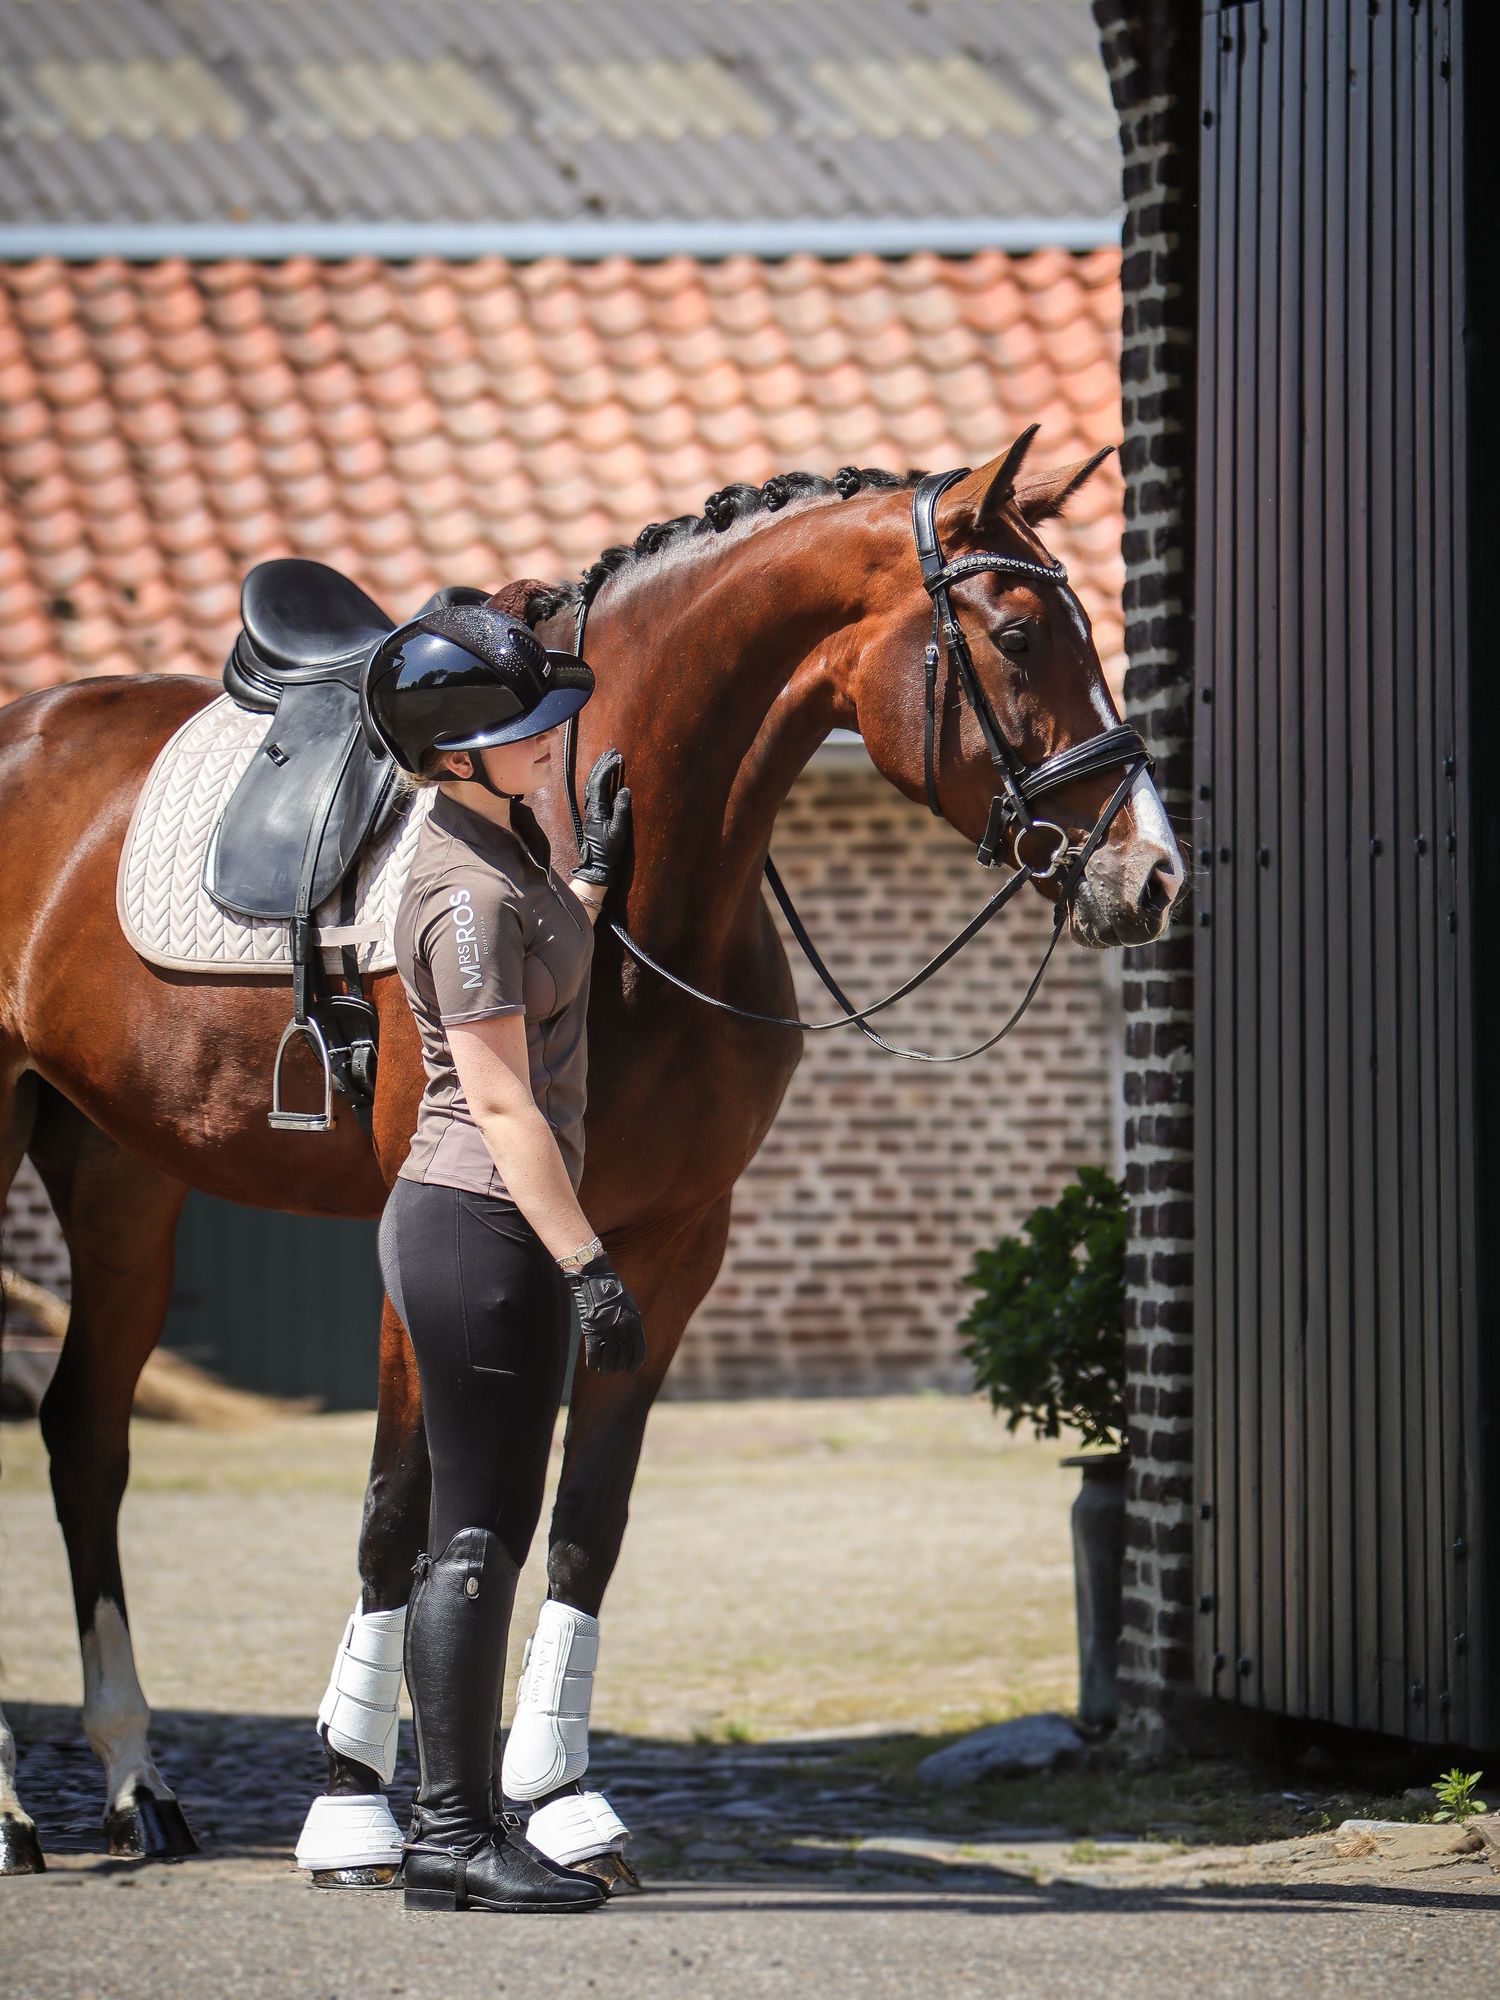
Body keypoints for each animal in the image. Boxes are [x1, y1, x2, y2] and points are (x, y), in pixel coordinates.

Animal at [0, 434, 1184, 1876]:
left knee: (85, 1433)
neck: (625, 896)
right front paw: (352, 1803)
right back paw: (16, 1808)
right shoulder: (437, 1227)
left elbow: (584, 1526)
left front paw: (561, 1800)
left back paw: (135, 1782)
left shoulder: (665, 1249)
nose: (1152, 877)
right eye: (1017, 635)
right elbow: (400, 1506)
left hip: (123, 1173)